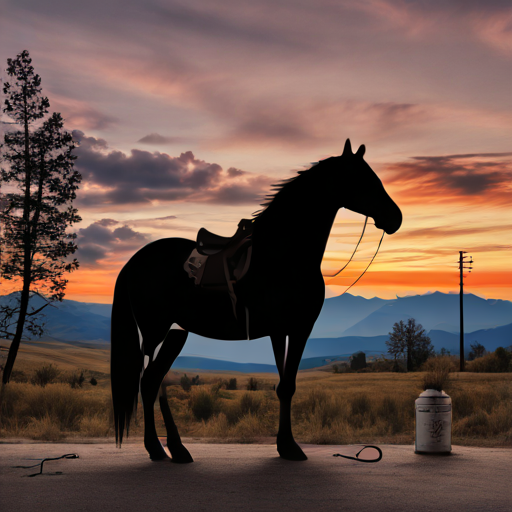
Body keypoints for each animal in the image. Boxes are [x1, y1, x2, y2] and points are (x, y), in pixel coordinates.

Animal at [110, 140, 402, 464]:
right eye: (364, 180)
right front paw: (290, 447)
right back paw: (157, 447)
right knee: (149, 381)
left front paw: (284, 445)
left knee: (153, 381)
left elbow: (283, 386)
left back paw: (174, 448)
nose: (396, 218)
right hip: (154, 331)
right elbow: (287, 385)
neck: (283, 256)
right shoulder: (299, 328)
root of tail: (134, 261)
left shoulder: (280, 331)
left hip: (176, 333)